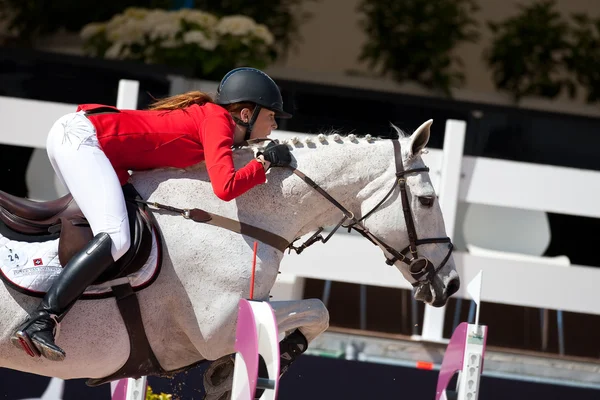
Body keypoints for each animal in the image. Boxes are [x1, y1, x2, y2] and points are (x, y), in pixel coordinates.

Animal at [1, 119, 460, 396]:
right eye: (427, 200)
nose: (451, 283)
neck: (231, 214)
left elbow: (309, 313)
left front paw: (229, 372)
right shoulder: (215, 327)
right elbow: (317, 309)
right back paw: (40, 333)